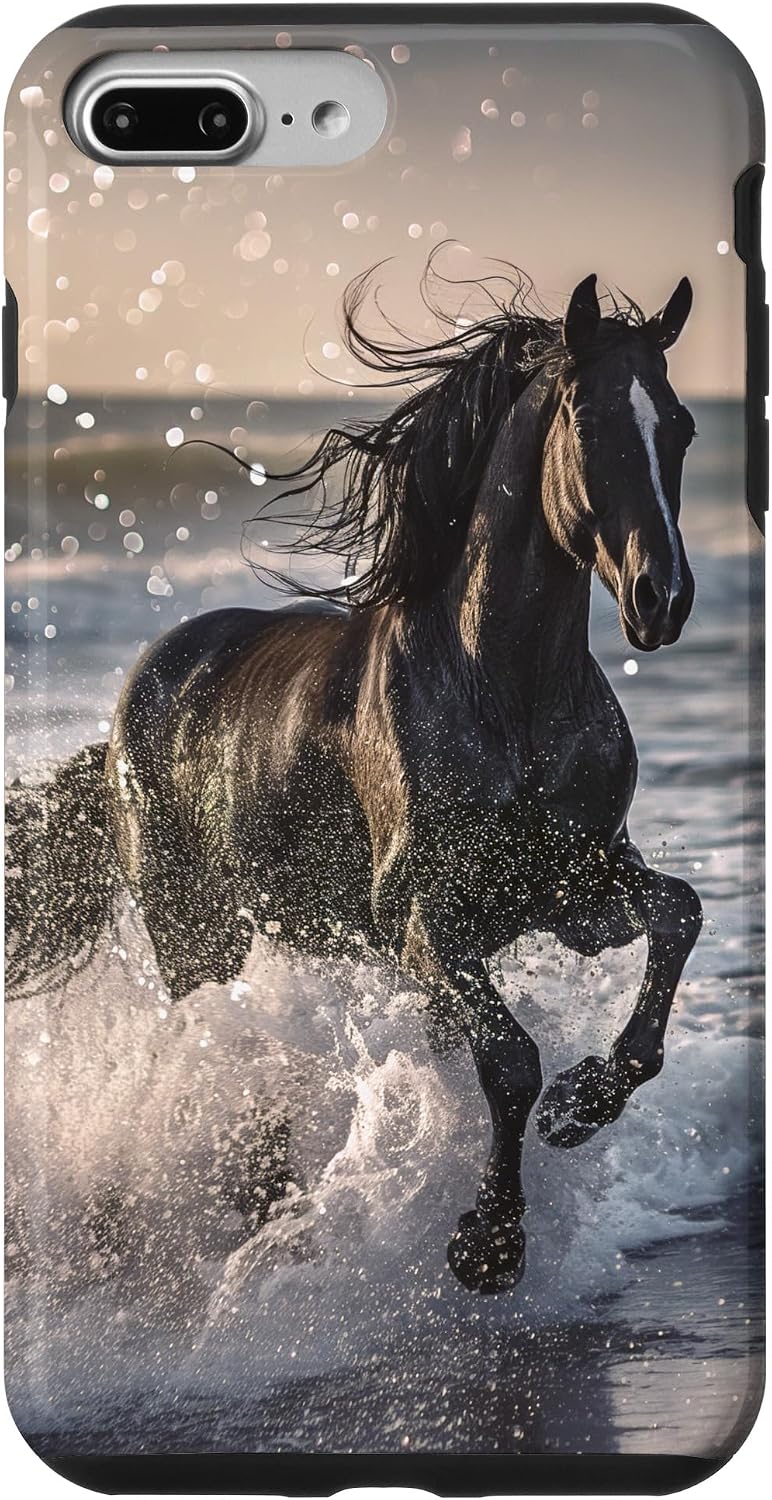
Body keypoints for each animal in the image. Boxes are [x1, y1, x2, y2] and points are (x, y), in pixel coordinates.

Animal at [7, 267, 702, 1293]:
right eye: (589, 421)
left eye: (681, 426)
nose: (665, 599)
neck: (506, 696)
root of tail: (123, 725)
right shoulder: (422, 918)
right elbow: (509, 1059)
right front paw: (488, 1244)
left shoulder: (574, 890)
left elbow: (678, 913)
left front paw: (582, 1106)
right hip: (192, 936)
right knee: (220, 1057)